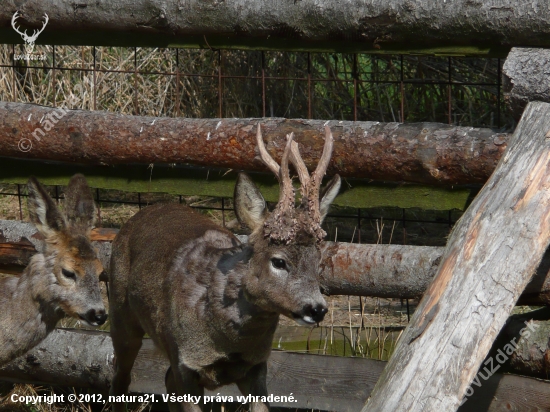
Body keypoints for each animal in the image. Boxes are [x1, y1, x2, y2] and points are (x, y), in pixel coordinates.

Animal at [109, 125, 340, 412]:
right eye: (278, 261)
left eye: (318, 261)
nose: (317, 309)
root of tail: (140, 214)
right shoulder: (185, 362)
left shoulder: (256, 365)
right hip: (120, 310)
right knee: (120, 376)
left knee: (163, 380)